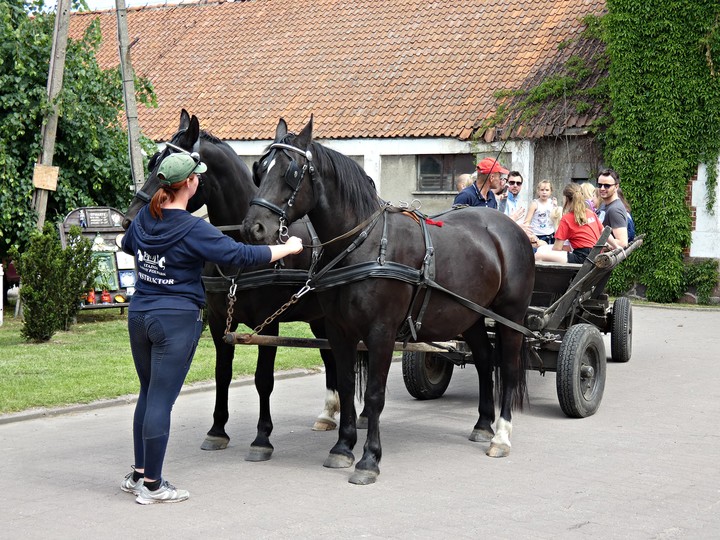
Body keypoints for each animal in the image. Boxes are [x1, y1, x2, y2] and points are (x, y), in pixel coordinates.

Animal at [245, 116, 536, 484]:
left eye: (292, 173)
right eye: (259, 169)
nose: (254, 228)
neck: (362, 244)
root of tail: (508, 227)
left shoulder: (381, 332)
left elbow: (373, 394)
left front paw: (369, 459)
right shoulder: (338, 331)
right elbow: (345, 385)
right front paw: (342, 448)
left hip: (510, 315)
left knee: (507, 368)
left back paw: (501, 435)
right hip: (469, 316)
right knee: (485, 361)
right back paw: (484, 424)